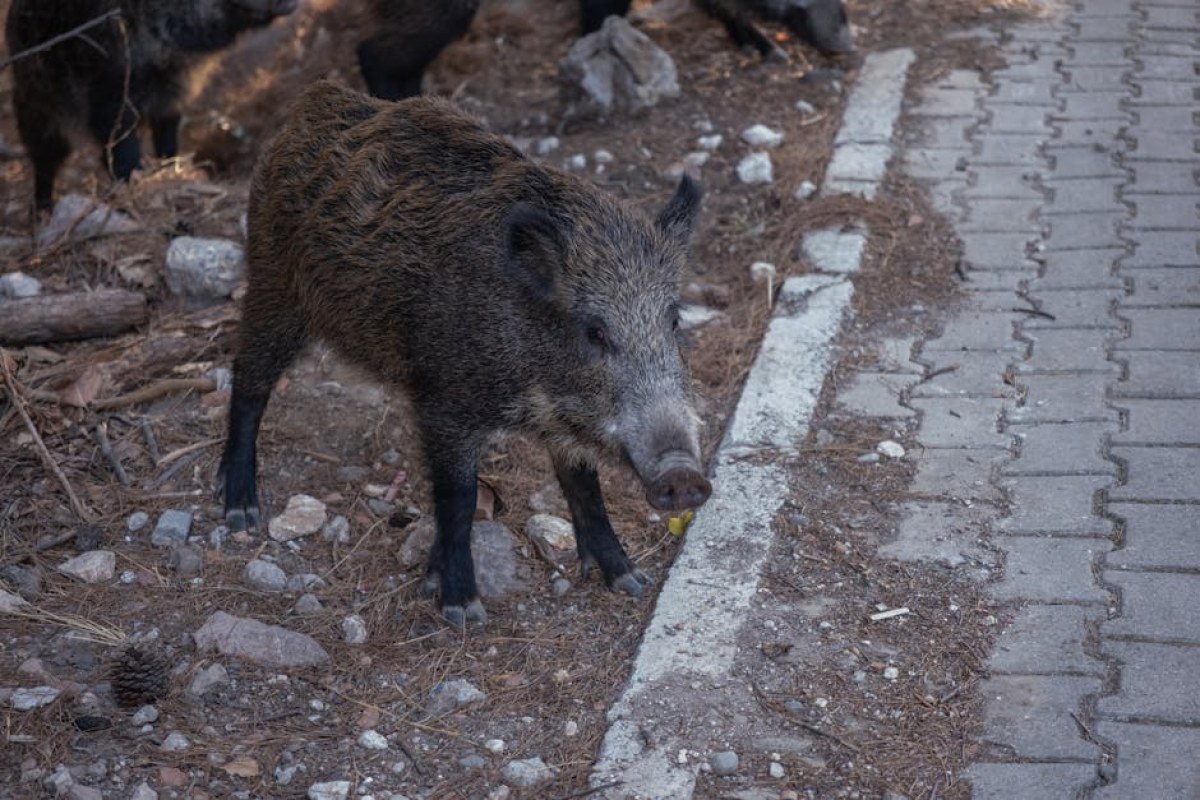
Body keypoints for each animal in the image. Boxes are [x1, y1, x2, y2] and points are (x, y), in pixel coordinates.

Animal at [4, 0, 298, 212]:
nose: (292, 3)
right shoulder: (108, 94)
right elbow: (123, 149)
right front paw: (136, 184)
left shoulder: (170, 97)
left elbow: (167, 140)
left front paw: (168, 171)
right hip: (36, 103)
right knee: (46, 156)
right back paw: (41, 212)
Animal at [218, 80, 712, 627]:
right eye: (595, 332)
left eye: (674, 320)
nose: (684, 474)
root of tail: (315, 102)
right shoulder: (445, 404)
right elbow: (459, 497)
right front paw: (462, 610)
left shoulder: (564, 420)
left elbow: (583, 486)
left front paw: (628, 580)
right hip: (273, 285)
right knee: (248, 378)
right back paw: (239, 510)